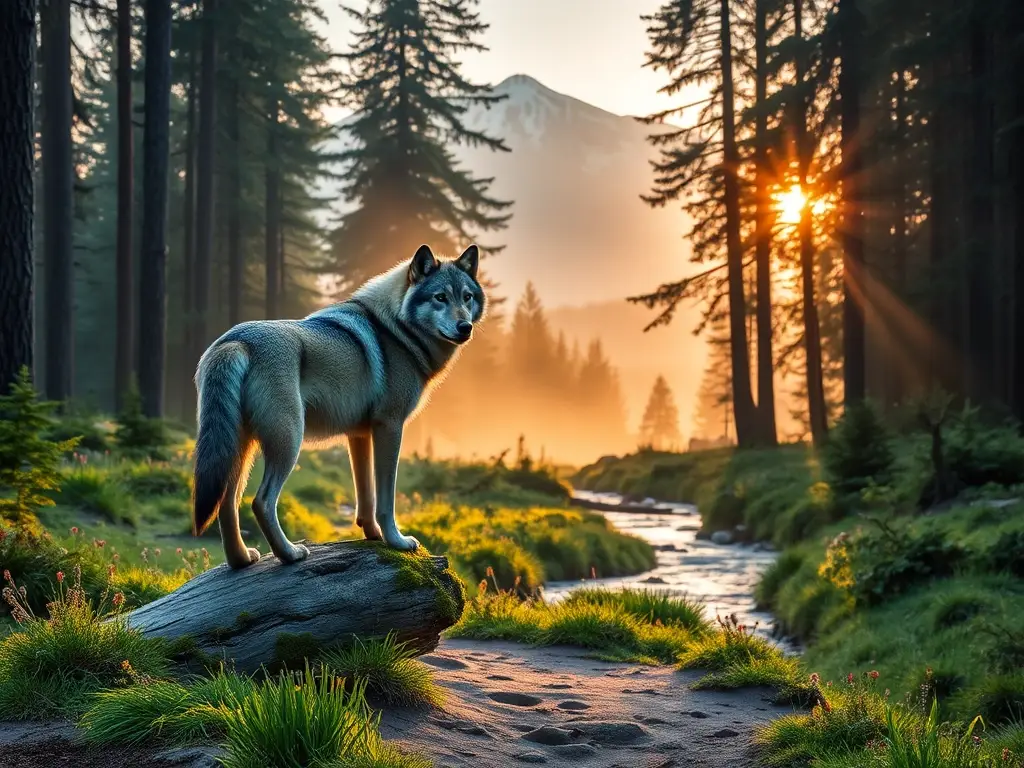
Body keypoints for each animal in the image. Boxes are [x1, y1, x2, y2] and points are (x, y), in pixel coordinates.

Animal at [190, 244, 485, 569]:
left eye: (466, 297)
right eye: (440, 297)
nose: (465, 327)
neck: (396, 331)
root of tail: (236, 341)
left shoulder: (359, 435)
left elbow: (366, 496)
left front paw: (372, 535)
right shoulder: (390, 427)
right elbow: (386, 499)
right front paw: (396, 541)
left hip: (241, 450)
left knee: (227, 503)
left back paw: (241, 560)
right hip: (287, 442)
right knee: (261, 502)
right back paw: (290, 554)